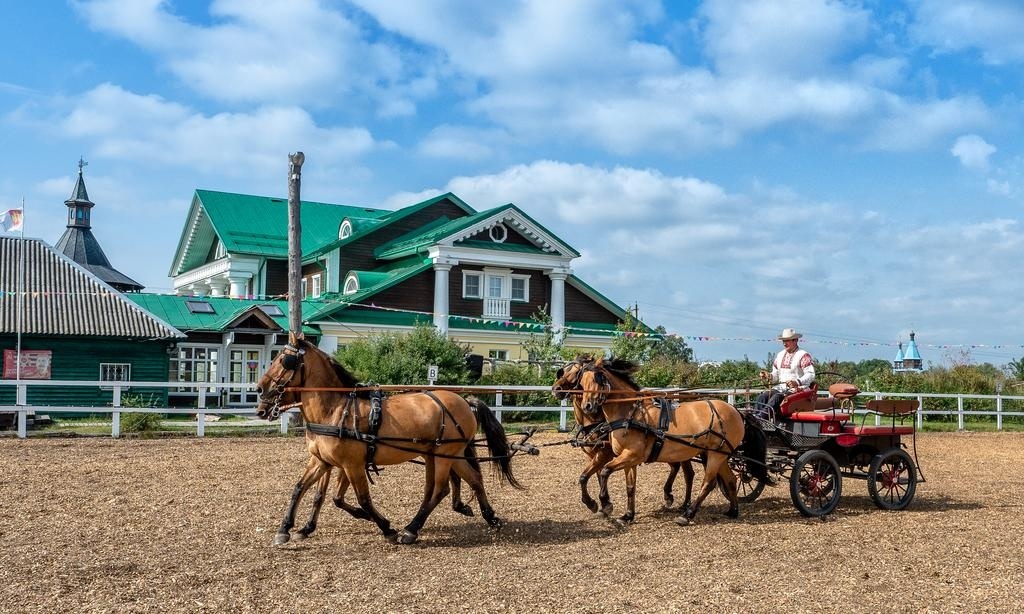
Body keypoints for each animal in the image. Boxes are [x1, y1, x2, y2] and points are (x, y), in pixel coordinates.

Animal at [256, 335, 520, 548]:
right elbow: (302, 489)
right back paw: (490, 517)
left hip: (445, 453)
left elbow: (362, 498)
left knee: (439, 489)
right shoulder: (322, 460)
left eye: (284, 360)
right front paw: (287, 529)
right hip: (443, 454)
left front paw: (386, 527)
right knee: (471, 479)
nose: (259, 390)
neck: (335, 409)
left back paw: (411, 530)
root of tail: (464, 401)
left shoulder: (352, 465)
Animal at [552, 354, 696, 521]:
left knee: (688, 474)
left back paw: (684, 505)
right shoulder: (593, 455)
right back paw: (669, 496)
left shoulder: (605, 453)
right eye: (564, 371)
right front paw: (602, 505)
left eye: (576, 372)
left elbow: (589, 476)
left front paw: (600, 504)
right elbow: (589, 476)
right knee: (676, 467)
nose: (556, 389)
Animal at [577, 354, 745, 521]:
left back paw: (688, 514)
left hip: (716, 455)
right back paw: (733, 511)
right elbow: (630, 486)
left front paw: (603, 502)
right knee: (731, 479)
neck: (631, 413)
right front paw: (628, 515)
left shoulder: (631, 455)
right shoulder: (628, 459)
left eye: (597, 379)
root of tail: (735, 410)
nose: (587, 406)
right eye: (582, 382)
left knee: (708, 483)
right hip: (718, 454)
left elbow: (605, 471)